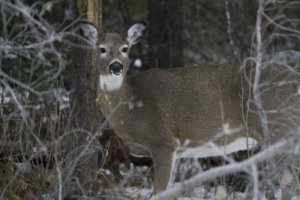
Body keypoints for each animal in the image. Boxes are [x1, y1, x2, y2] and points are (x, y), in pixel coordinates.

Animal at [79, 22, 300, 195]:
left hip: (277, 127)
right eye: (102, 49)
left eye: (125, 48)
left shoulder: (163, 141)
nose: (116, 66)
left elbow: (160, 191)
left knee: (289, 179)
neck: (131, 106)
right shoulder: (176, 150)